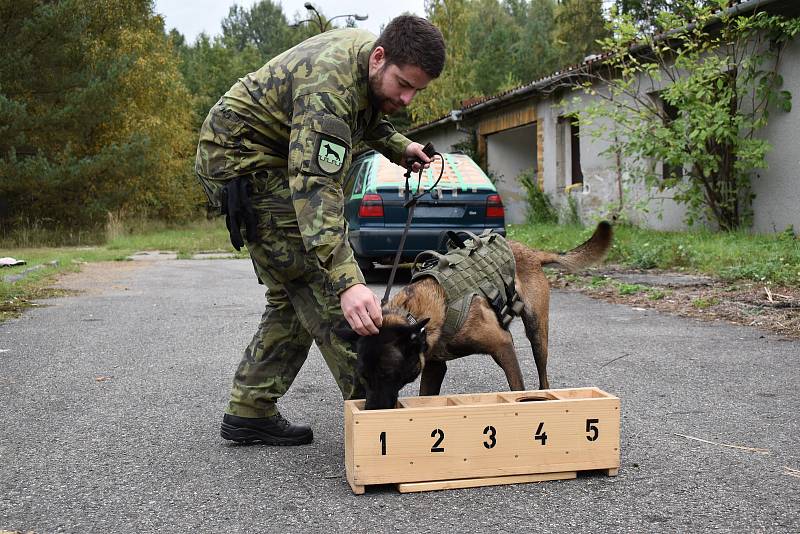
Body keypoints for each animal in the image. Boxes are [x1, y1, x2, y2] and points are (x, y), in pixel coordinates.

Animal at [338, 222, 612, 410]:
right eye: (362, 377)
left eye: (387, 375)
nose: (371, 410)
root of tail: (531, 251)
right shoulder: (434, 367)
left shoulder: (503, 345)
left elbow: (517, 389)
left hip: (537, 332)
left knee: (543, 375)